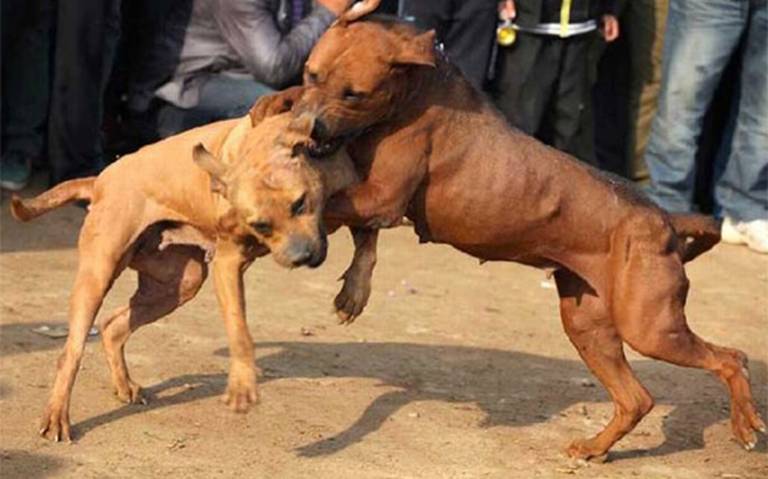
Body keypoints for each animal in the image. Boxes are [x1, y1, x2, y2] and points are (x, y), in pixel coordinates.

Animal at [9, 108, 356, 442]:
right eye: (261, 224)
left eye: (300, 203)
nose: (302, 257)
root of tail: (101, 179)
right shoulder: (227, 263)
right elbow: (239, 330)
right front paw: (243, 384)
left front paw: (353, 293)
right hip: (98, 275)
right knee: (71, 352)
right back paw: (57, 417)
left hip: (178, 284)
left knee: (112, 327)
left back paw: (124, 385)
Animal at [266, 1, 768, 464]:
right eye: (310, 73)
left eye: (354, 94)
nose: (306, 129)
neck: (415, 90)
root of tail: (664, 217)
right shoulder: (372, 196)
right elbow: (360, 238)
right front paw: (352, 289)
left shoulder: (380, 198)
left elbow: (334, 206)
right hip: (589, 324)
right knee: (637, 398)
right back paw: (594, 447)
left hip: (651, 328)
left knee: (732, 359)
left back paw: (744, 424)